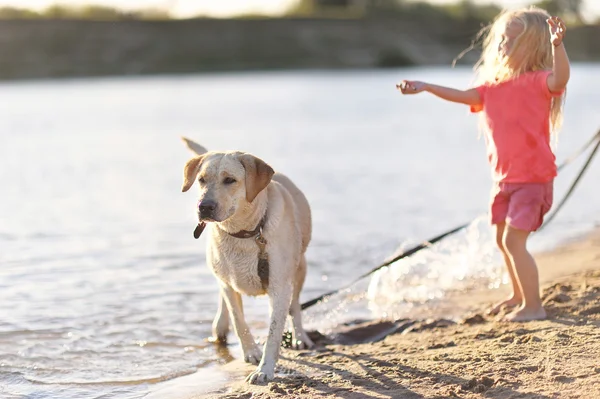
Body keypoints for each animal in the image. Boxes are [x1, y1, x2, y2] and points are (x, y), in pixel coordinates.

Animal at [179, 137, 314, 384]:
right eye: (201, 180)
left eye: (230, 180)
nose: (204, 207)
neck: (244, 232)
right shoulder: (228, 281)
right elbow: (238, 320)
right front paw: (251, 352)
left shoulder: (280, 285)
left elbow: (274, 331)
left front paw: (264, 370)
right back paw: (220, 326)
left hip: (300, 268)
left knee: (296, 306)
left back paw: (300, 337)